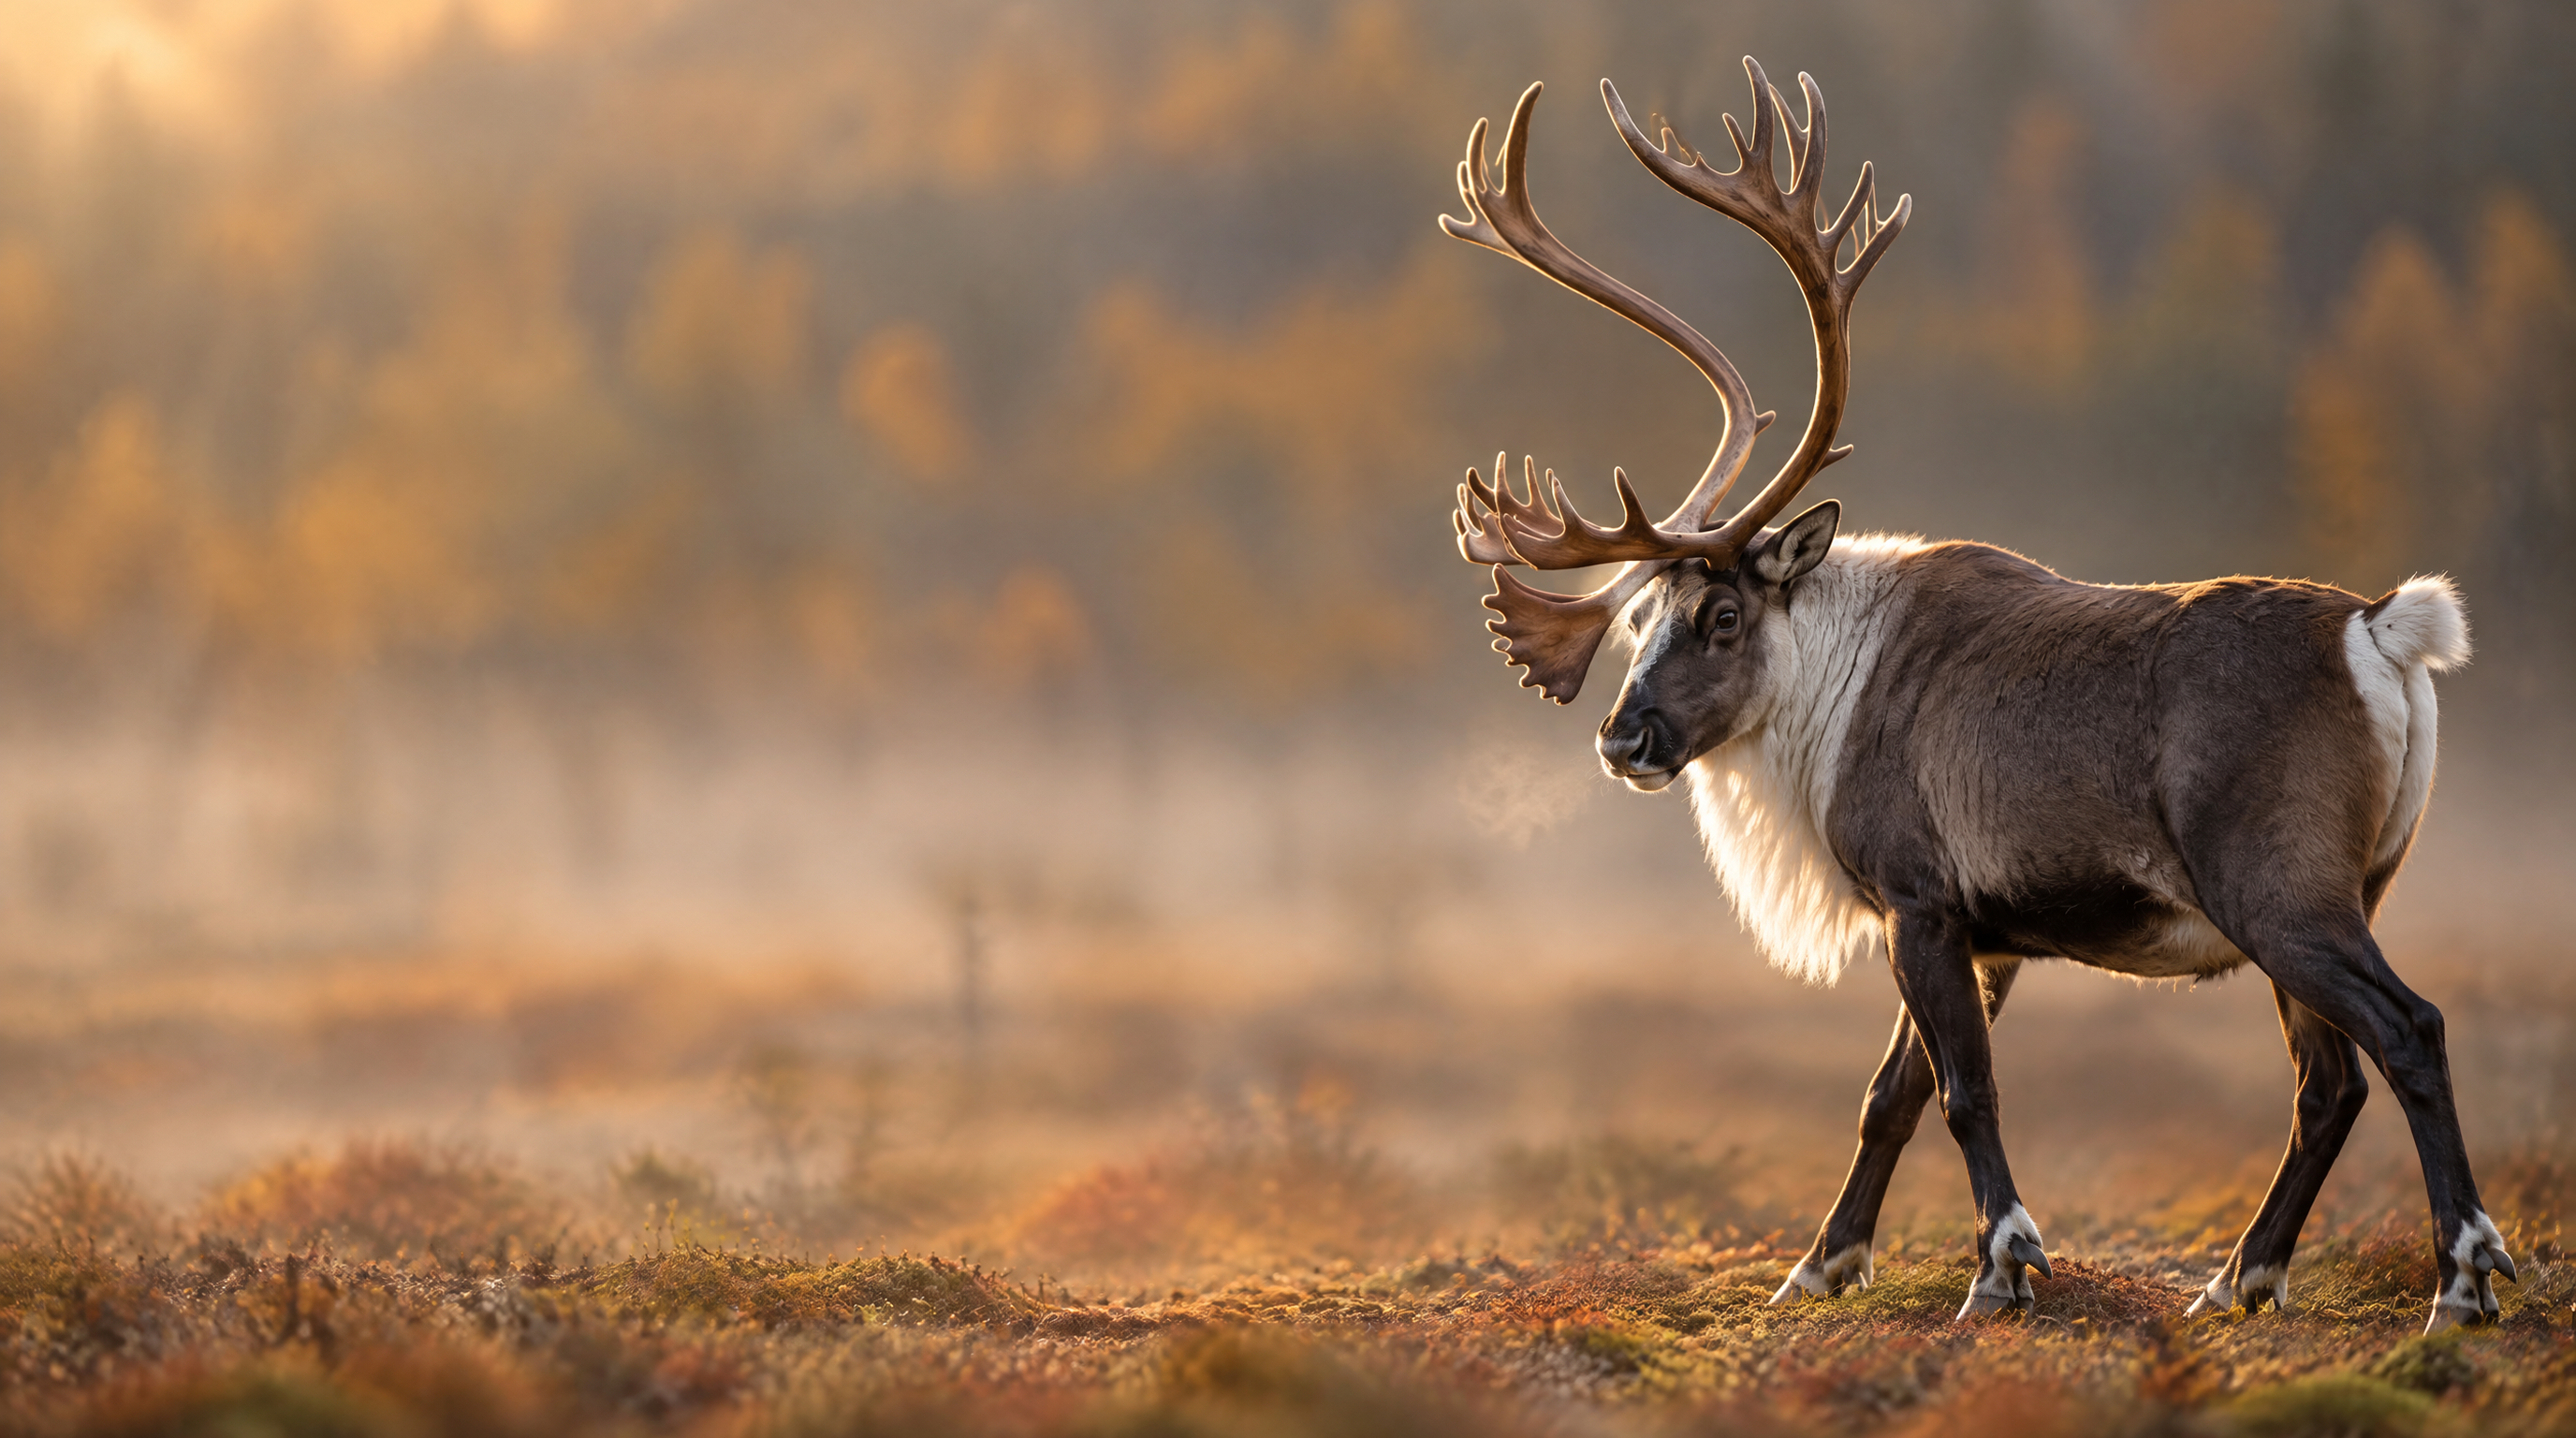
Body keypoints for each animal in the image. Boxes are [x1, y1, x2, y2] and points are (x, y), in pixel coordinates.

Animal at [1440, 61, 2512, 1332]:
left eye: (1723, 615)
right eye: (1636, 618)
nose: (1623, 737)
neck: (1824, 703)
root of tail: (2382, 630)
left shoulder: (1915, 900)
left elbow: (1961, 1094)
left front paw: (2002, 1265)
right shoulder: (1982, 932)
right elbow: (1890, 1095)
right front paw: (1819, 1267)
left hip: (2282, 891)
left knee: (2406, 1032)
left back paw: (2461, 1277)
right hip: (2353, 890)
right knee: (2327, 1079)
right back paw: (2237, 1279)